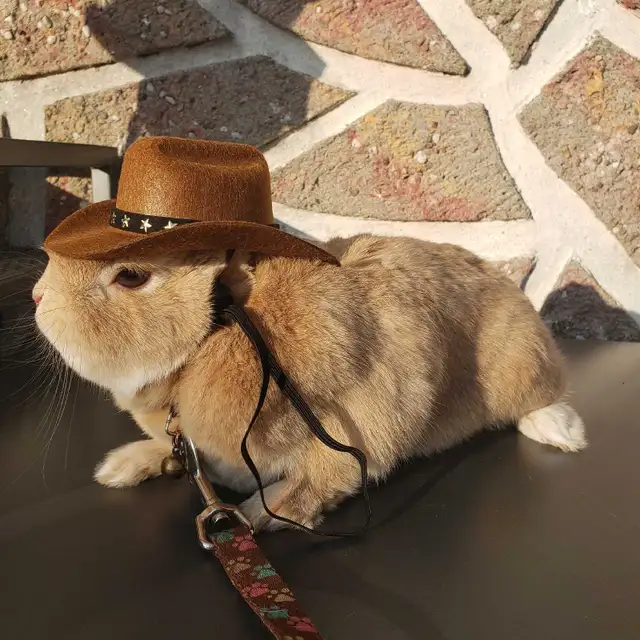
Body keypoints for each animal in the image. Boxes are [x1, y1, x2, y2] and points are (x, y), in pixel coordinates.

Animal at [33, 234, 586, 531]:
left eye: (130, 276)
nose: (38, 297)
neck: (219, 337)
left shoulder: (361, 418)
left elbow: (316, 482)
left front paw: (260, 513)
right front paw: (123, 465)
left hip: (520, 364)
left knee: (543, 397)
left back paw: (562, 431)